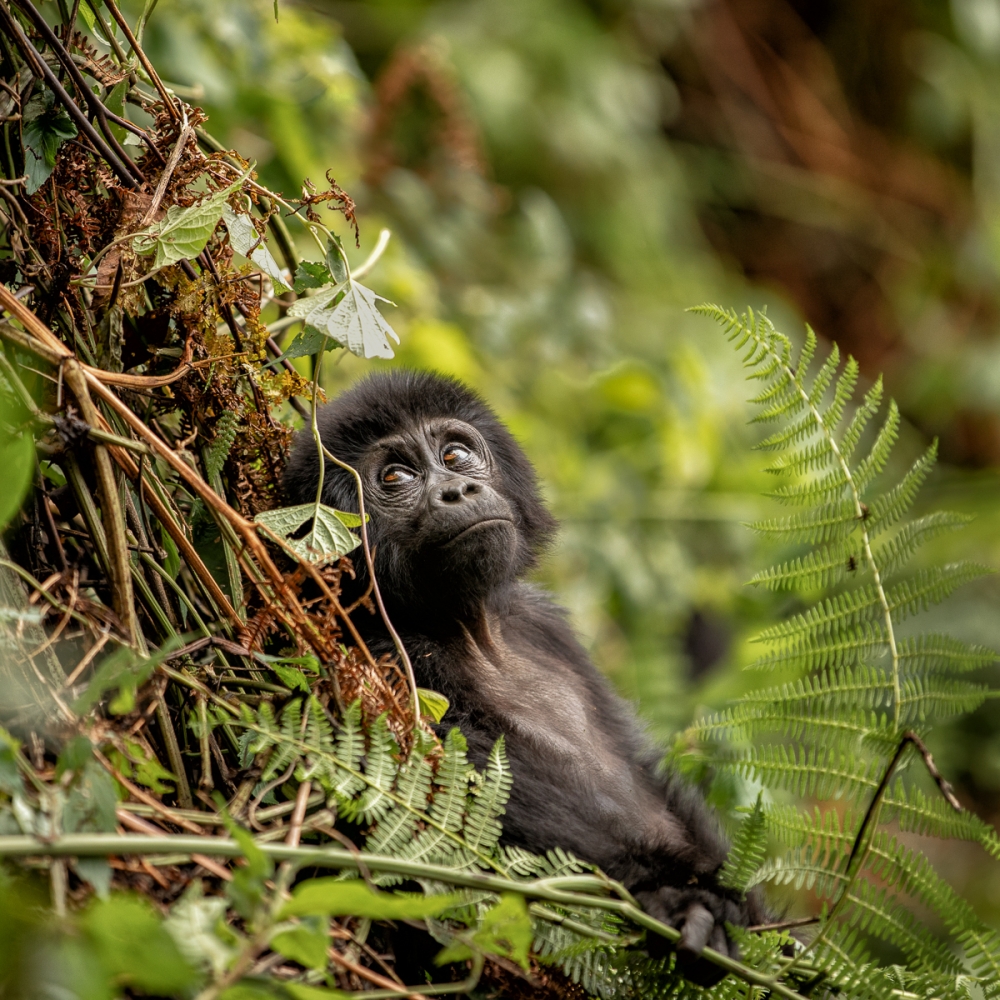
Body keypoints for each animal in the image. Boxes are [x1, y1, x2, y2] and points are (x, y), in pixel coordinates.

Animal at [283, 370, 765, 985]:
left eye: (455, 455)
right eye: (395, 476)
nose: (458, 491)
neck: (471, 627)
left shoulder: (545, 623)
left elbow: (642, 767)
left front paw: (734, 903)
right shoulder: (378, 647)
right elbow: (449, 796)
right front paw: (674, 896)